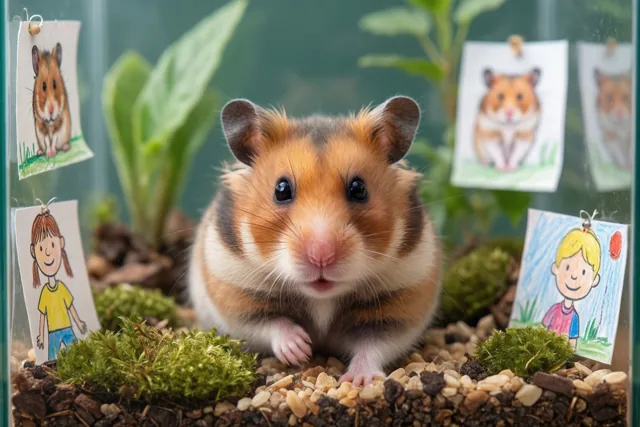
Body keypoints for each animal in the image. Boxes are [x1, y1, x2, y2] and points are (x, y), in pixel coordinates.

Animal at [188, 96, 442, 386]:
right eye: (281, 189)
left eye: (359, 189)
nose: (321, 256)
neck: (322, 298)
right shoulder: (235, 291)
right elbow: (270, 324)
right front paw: (299, 349)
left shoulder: (402, 302)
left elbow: (373, 345)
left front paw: (358, 380)